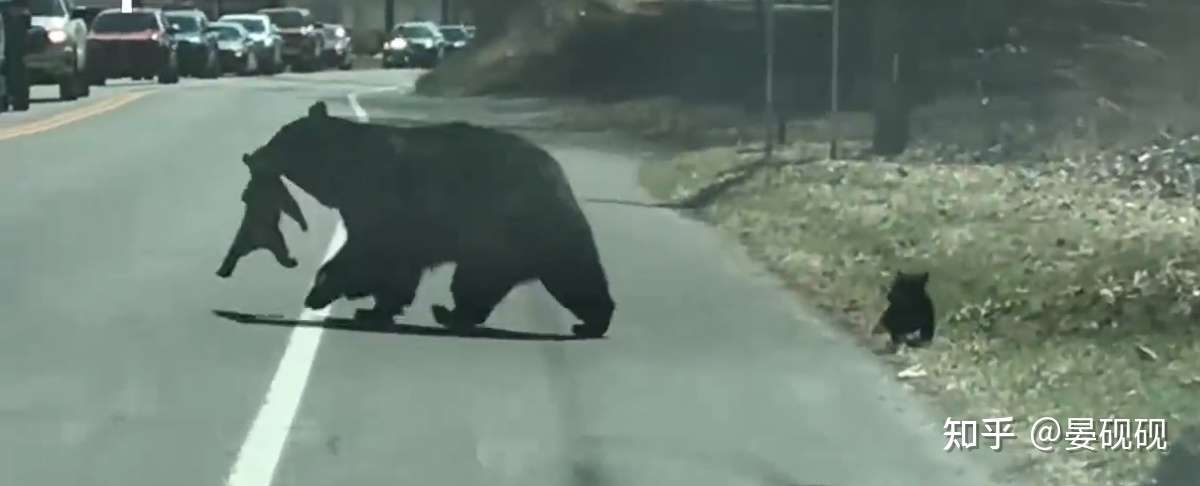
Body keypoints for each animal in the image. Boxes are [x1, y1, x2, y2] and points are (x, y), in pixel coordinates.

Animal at [225, 102, 619, 336]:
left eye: (279, 139)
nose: (252, 155)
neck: (344, 170)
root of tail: (559, 177)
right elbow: (396, 267)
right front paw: (374, 309)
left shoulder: (383, 197)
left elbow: (371, 250)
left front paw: (323, 289)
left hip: (512, 227)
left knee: (549, 274)